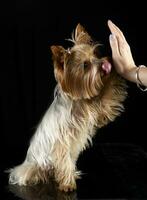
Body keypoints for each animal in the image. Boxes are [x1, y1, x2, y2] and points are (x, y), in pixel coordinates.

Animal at [8, 23, 127, 192]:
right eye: (85, 65)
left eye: (95, 54)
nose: (104, 62)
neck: (79, 101)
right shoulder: (61, 142)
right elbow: (64, 161)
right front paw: (67, 184)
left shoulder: (99, 109)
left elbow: (108, 96)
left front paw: (115, 69)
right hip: (34, 166)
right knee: (36, 172)